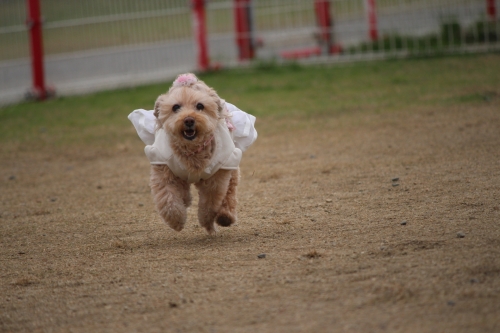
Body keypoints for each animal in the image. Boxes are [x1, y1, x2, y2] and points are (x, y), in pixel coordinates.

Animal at [144, 73, 247, 233]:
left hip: (231, 163)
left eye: (200, 106)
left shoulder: (216, 179)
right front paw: (176, 221)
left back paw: (225, 216)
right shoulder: (163, 167)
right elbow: (168, 199)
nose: (188, 120)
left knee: (230, 190)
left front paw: (207, 222)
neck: (192, 149)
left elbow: (209, 203)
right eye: (175, 107)